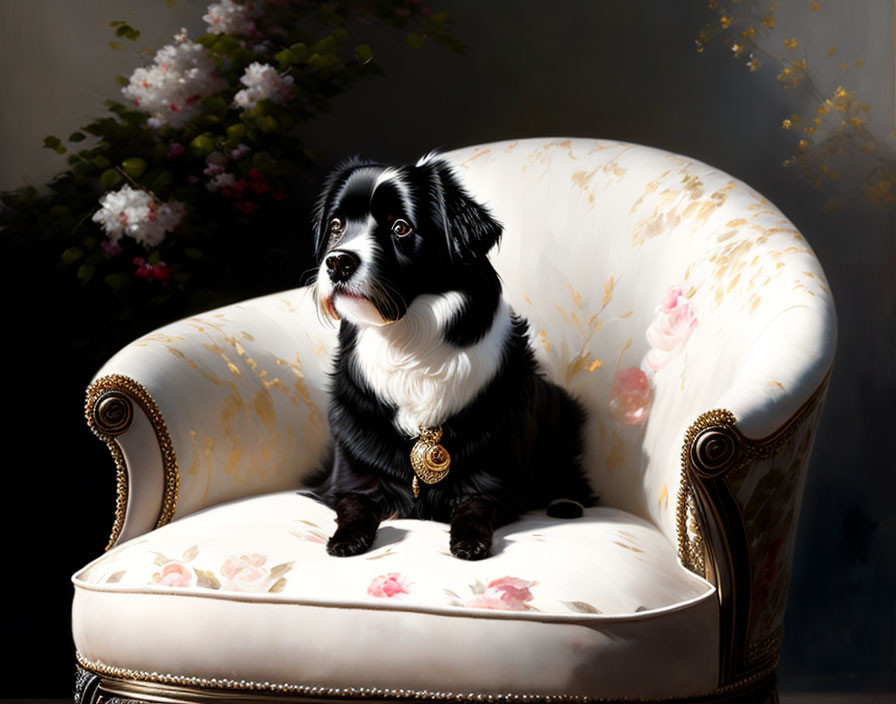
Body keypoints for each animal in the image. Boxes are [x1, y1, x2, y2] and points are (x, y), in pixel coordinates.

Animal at [308, 154, 596, 560]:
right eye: (336, 225)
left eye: (400, 227)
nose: (337, 263)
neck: (406, 340)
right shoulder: (349, 477)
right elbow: (356, 504)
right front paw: (346, 539)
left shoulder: (497, 482)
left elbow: (475, 506)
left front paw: (469, 542)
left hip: (561, 411)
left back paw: (566, 502)